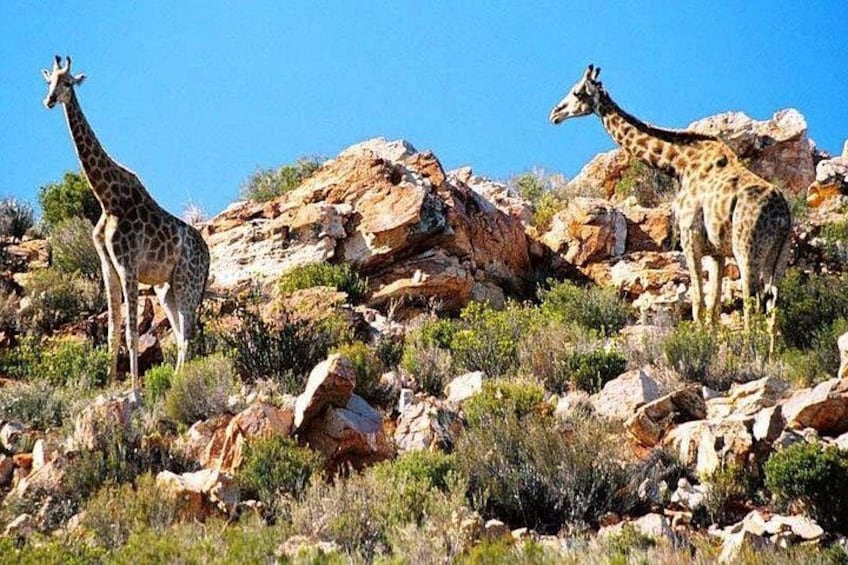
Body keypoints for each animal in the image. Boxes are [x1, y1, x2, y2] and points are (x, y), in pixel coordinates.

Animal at [42, 56, 210, 389]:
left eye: (67, 82)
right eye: (49, 82)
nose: (50, 100)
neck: (107, 199)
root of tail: (209, 253)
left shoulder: (128, 263)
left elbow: (131, 332)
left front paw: (133, 389)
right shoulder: (108, 264)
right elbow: (112, 330)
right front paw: (108, 384)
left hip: (189, 281)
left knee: (188, 334)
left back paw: (179, 384)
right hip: (167, 288)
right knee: (181, 333)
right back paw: (174, 380)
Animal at [549, 65, 791, 349]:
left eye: (577, 92)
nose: (555, 113)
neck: (680, 165)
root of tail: (784, 217)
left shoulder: (690, 237)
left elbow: (698, 302)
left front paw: (701, 346)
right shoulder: (717, 251)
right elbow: (714, 305)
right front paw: (714, 345)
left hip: (747, 250)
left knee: (752, 304)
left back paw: (748, 352)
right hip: (779, 256)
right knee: (773, 307)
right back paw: (769, 355)